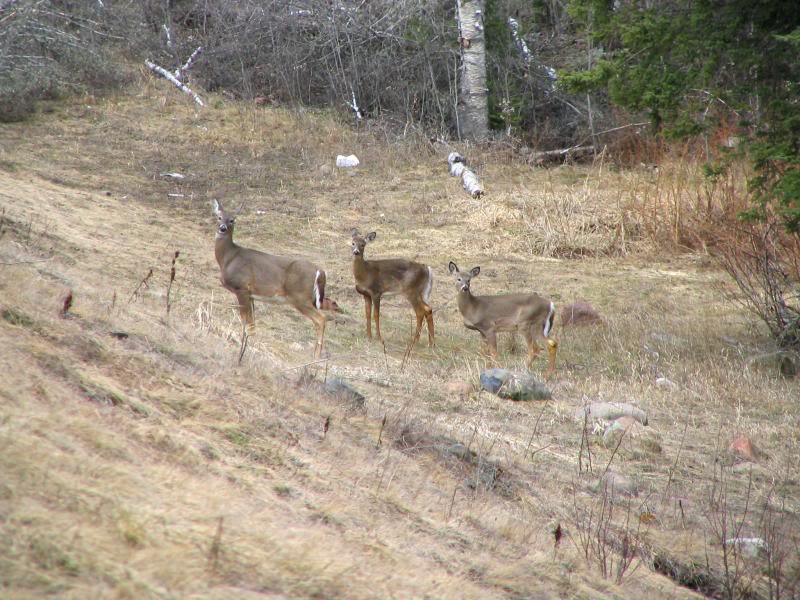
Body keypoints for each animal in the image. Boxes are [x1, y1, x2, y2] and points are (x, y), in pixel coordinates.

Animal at [213, 199, 327, 359]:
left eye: (232, 220)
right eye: (219, 217)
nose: (222, 228)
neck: (228, 258)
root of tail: (319, 271)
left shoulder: (242, 288)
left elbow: (246, 321)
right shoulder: (251, 295)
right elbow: (251, 322)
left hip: (299, 297)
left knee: (321, 319)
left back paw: (316, 355)